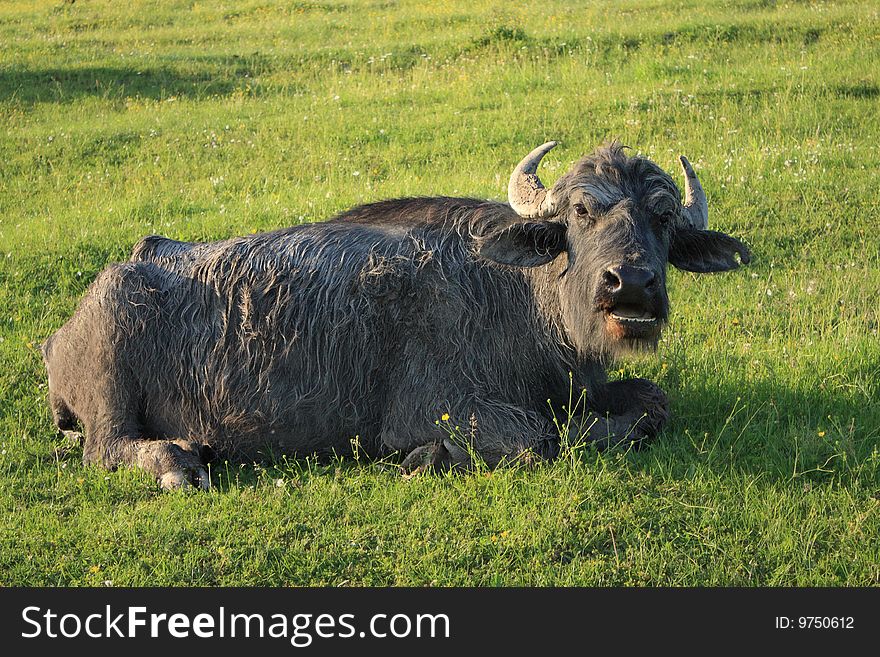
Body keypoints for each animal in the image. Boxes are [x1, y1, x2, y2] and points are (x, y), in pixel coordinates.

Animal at [43, 141, 748, 486]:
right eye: (580, 211)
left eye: (663, 217)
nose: (631, 282)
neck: (521, 304)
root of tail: (62, 335)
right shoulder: (438, 408)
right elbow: (538, 438)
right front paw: (430, 459)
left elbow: (653, 401)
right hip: (112, 377)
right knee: (105, 450)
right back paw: (177, 464)